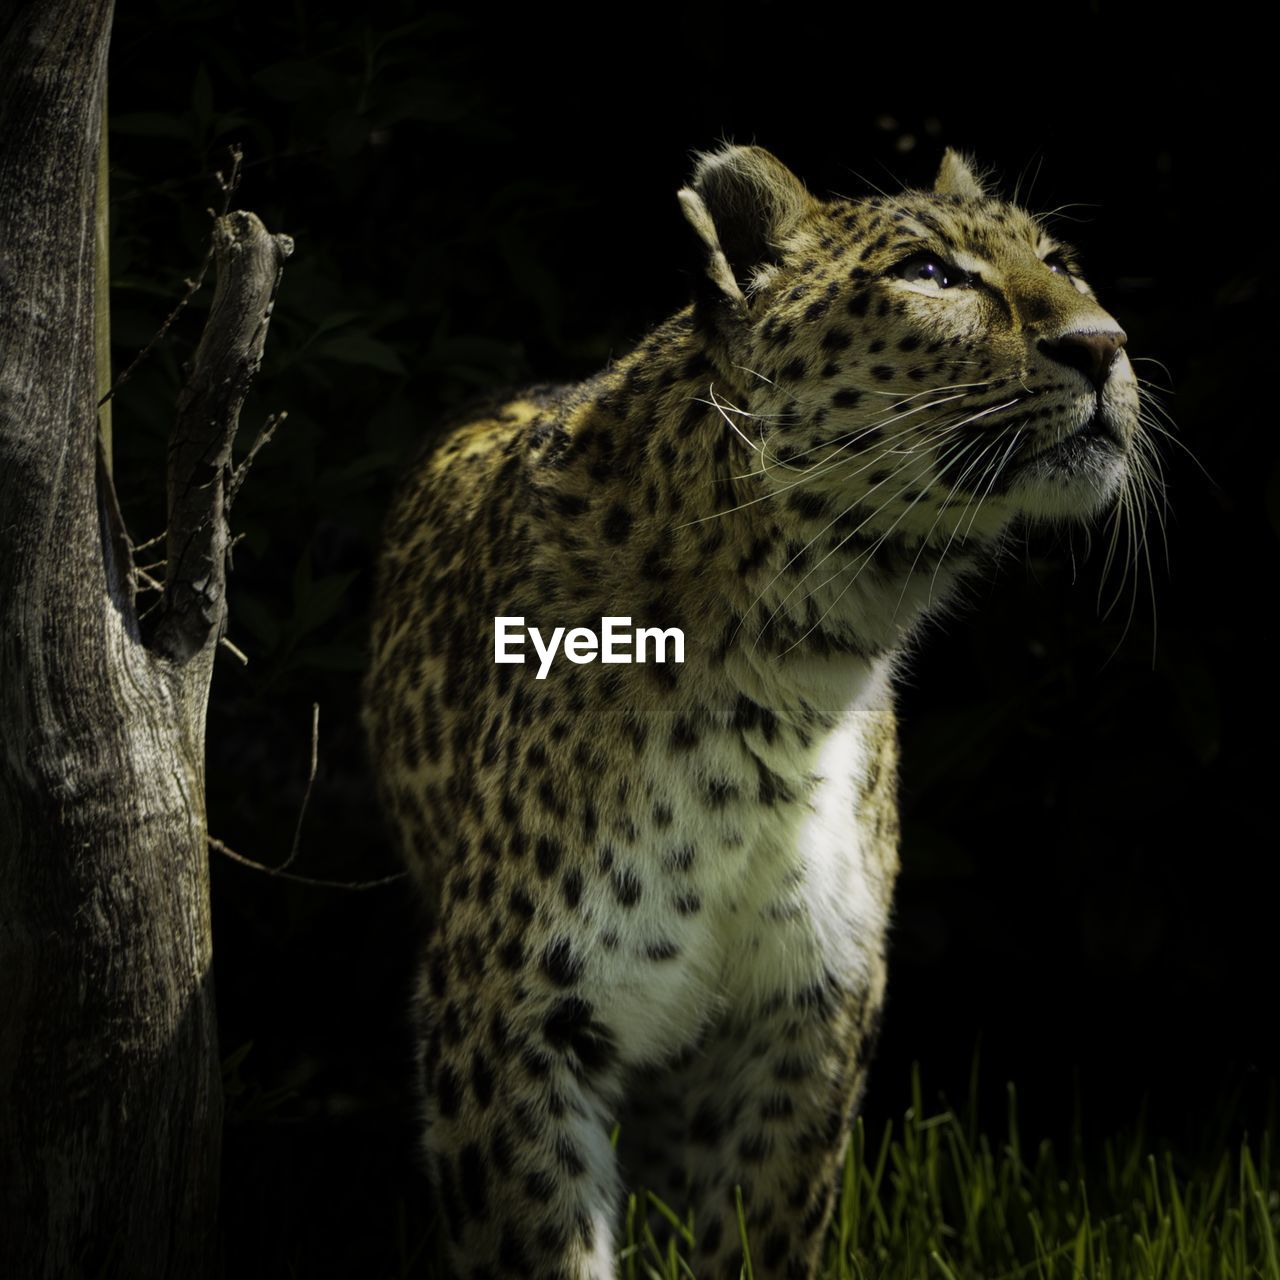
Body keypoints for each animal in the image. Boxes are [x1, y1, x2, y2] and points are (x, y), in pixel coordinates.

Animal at [366, 145, 1146, 1274]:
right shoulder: (512, 1013)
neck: (798, 669)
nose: (1104, 345)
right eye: (930, 273)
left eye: (1060, 262)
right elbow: (546, 1242)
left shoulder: (804, 1010)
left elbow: (764, 1232)